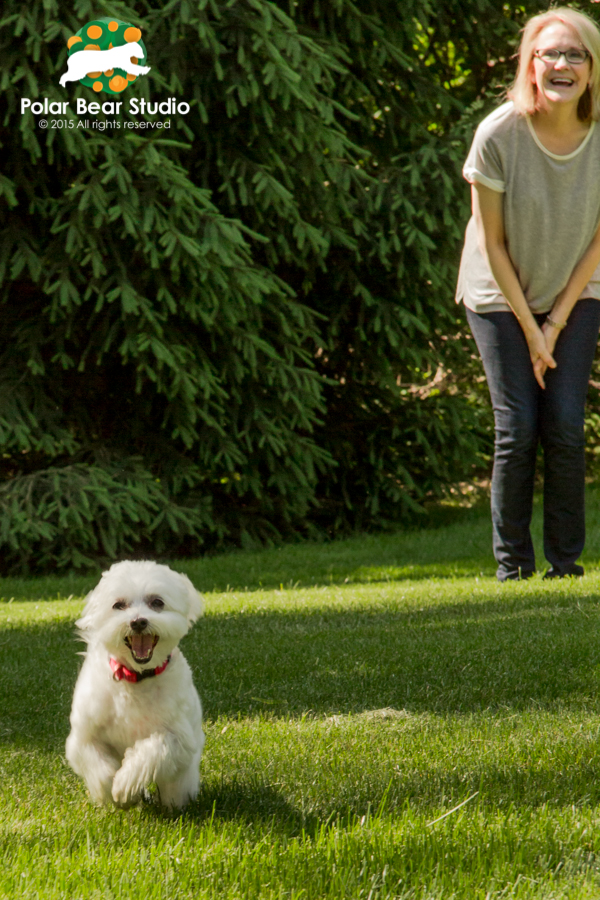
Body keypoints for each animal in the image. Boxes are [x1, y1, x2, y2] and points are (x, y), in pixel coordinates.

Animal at [66, 564, 204, 808]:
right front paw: (112, 791)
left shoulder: (181, 740)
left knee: (175, 792)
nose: (138, 621)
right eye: (118, 605)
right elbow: (100, 769)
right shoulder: (84, 737)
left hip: (182, 781)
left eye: (157, 602)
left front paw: (126, 784)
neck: (136, 677)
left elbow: (155, 748)